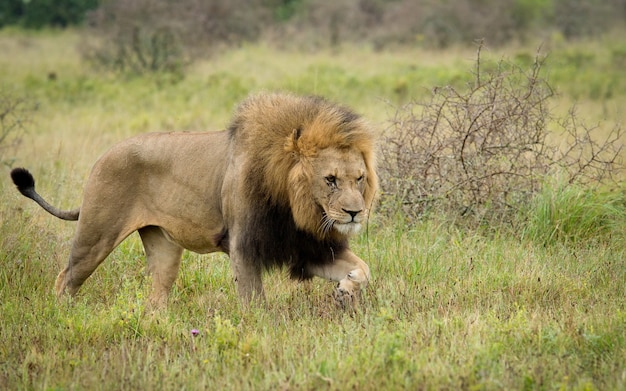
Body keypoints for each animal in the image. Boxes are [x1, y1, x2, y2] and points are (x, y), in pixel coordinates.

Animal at [11, 92, 376, 310]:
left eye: (358, 178)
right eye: (330, 180)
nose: (355, 213)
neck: (295, 208)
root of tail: (103, 156)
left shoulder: (309, 248)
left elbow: (364, 268)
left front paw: (346, 290)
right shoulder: (244, 246)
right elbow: (254, 301)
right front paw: (260, 331)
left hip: (164, 248)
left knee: (156, 295)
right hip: (96, 234)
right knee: (66, 279)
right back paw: (65, 316)